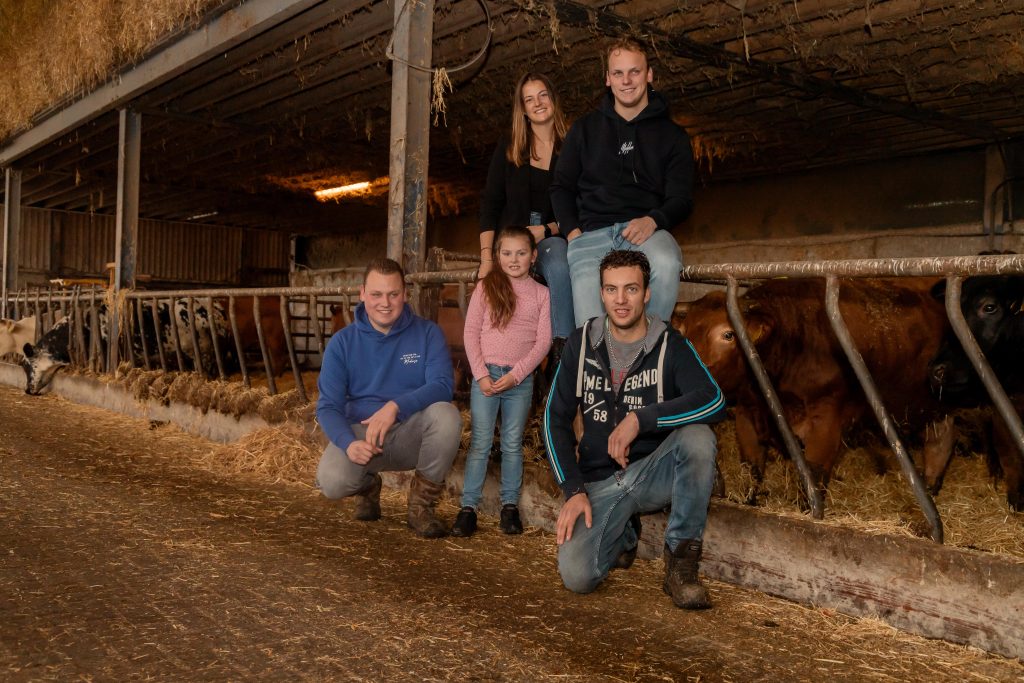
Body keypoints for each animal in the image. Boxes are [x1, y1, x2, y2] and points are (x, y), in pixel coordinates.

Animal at [679, 278, 950, 507]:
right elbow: (752, 469)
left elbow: (814, 476)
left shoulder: (826, 422)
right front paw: (749, 501)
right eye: (683, 332)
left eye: (728, 334)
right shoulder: (748, 414)